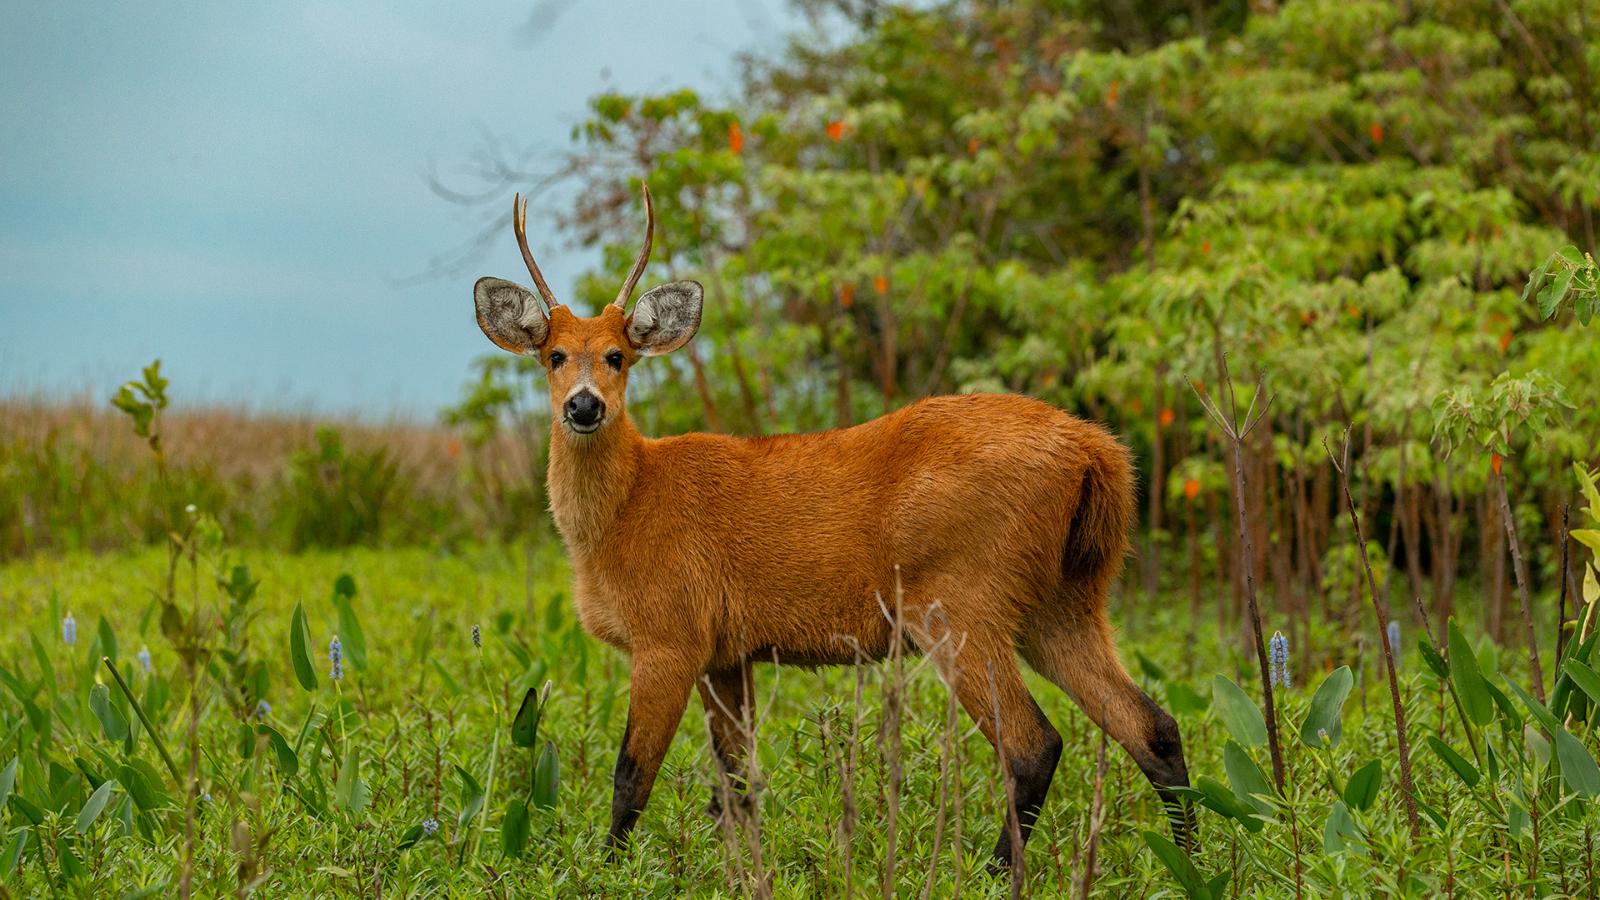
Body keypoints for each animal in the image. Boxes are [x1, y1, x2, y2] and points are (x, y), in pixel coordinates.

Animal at [467, 184, 1196, 871]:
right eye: (555, 355)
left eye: (618, 355)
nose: (584, 406)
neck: (622, 513)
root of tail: (1094, 450)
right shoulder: (725, 654)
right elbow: (736, 785)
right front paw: (739, 872)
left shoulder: (669, 636)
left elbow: (630, 778)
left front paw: (611, 872)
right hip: (1065, 600)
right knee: (1153, 726)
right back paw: (1191, 862)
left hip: (959, 601)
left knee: (1034, 743)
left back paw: (995, 872)